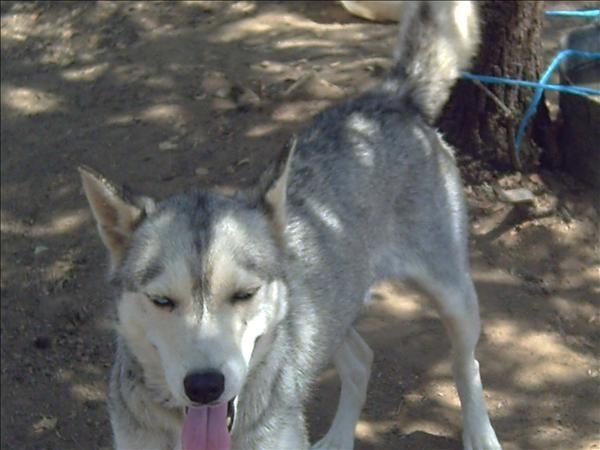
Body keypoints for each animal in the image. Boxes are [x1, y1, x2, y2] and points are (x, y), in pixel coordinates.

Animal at [81, 1, 502, 448]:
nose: (205, 386)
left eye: (244, 294)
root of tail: (387, 99)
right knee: (361, 358)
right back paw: (337, 438)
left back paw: (479, 432)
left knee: (467, 365)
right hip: (333, 311)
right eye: (162, 300)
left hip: (454, 297)